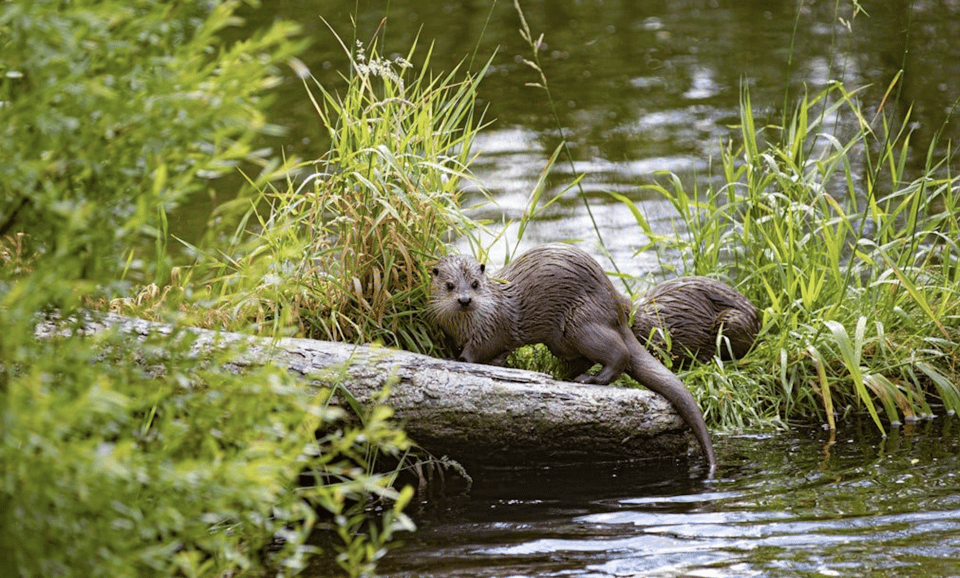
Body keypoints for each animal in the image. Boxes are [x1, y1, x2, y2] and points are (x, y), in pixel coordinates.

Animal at [432, 243, 716, 472]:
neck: (464, 325)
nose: (465, 299)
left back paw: (589, 380)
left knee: (619, 353)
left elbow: (482, 348)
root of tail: (617, 308)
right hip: (561, 341)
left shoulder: (493, 326)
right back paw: (564, 375)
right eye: (449, 286)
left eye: (475, 284)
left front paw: (462, 360)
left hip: (581, 324)